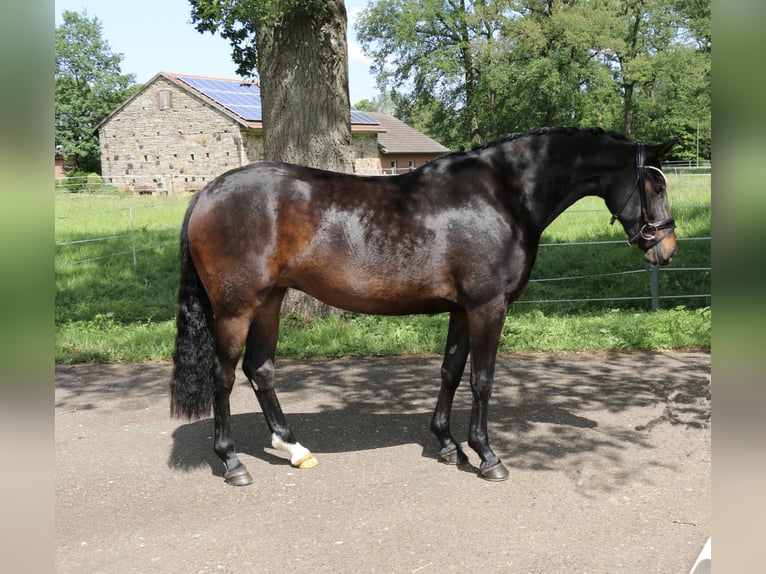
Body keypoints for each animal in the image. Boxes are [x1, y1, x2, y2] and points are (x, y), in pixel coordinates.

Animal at [170, 127, 677, 485]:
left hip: (269, 303)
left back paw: (293, 448)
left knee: (260, 370)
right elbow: (482, 379)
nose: (667, 250)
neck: (502, 195)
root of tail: (207, 193)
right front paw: (487, 455)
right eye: (654, 187)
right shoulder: (488, 307)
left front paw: (448, 443)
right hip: (236, 309)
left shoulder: (462, 309)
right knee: (224, 376)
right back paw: (233, 462)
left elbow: (450, 371)